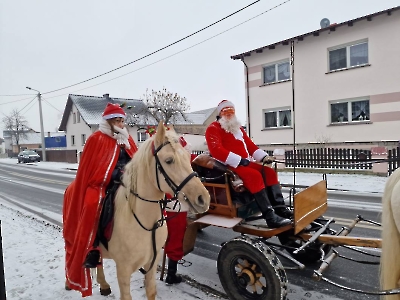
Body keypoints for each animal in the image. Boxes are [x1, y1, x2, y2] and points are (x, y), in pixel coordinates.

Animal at [85, 122, 209, 300]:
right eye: (169, 160)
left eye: (188, 157)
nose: (203, 199)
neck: (146, 223)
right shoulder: (123, 269)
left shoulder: (152, 263)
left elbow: (151, 291)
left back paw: (104, 285)